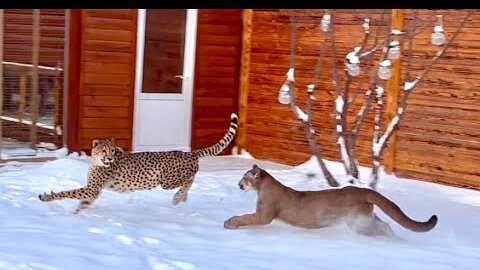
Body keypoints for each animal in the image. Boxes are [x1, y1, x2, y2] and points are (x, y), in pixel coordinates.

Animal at [38, 113, 239, 212]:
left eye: (112, 151)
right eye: (105, 150)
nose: (110, 158)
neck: (98, 161)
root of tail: (189, 153)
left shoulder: (92, 189)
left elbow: (67, 193)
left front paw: (47, 197)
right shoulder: (94, 192)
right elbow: (83, 201)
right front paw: (78, 212)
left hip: (166, 181)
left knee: (189, 180)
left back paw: (178, 197)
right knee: (190, 181)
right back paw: (182, 199)